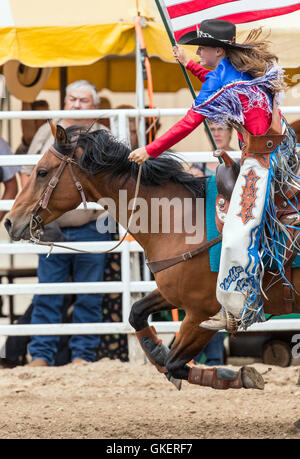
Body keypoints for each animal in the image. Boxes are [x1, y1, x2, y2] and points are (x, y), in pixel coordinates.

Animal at [4, 125, 298, 392]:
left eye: (42, 172)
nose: (9, 221)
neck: (180, 221)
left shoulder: (201, 314)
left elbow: (175, 363)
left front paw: (242, 376)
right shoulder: (173, 294)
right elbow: (137, 314)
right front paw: (156, 351)